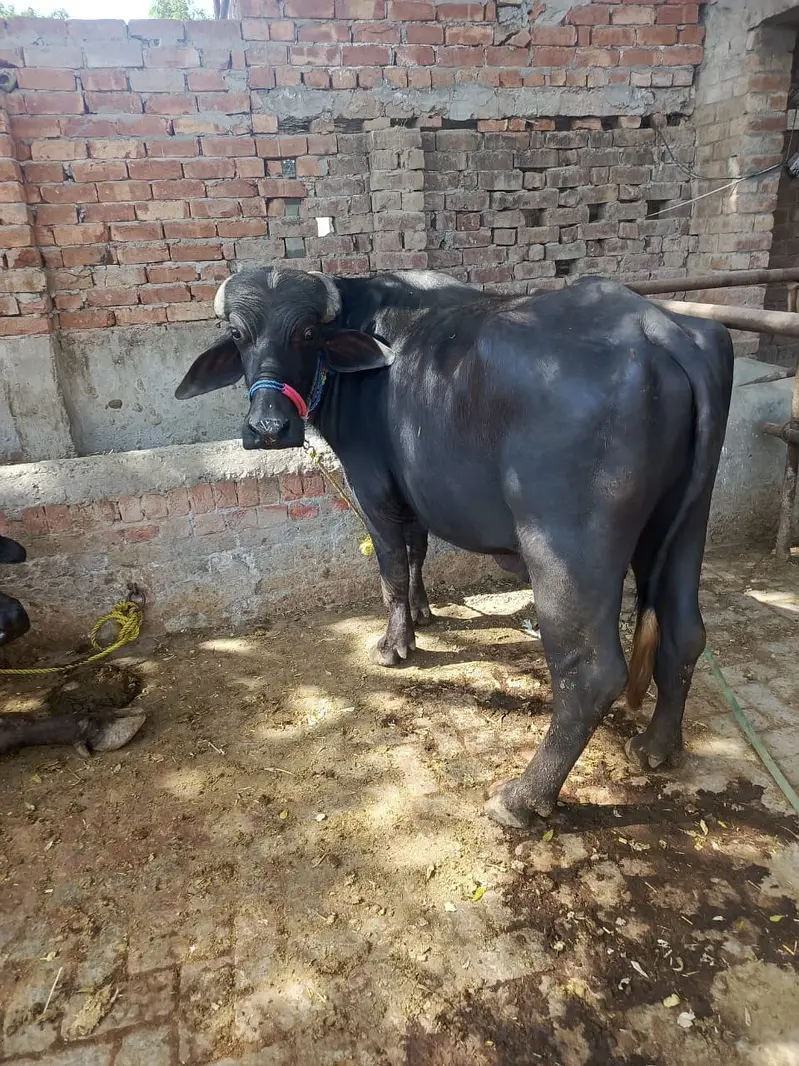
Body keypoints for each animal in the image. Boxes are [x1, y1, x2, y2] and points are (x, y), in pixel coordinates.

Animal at [175, 267, 734, 828]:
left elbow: (392, 568)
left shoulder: (373, 488)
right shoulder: (414, 492)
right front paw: (424, 613)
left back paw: (522, 798)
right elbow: (417, 549)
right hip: (686, 521)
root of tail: (658, 329)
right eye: (240, 335)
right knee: (685, 634)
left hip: (567, 551)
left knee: (590, 673)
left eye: (307, 332)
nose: (268, 429)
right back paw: (657, 745)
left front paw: (394, 644)